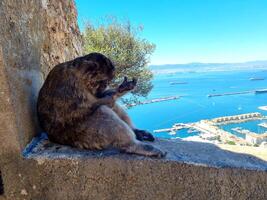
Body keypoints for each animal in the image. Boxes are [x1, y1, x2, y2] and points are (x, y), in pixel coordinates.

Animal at [37, 52, 168, 158]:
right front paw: (111, 97)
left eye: (107, 82)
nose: (105, 86)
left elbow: (102, 98)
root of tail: (53, 138)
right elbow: (86, 108)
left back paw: (137, 132)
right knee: (101, 110)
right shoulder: (70, 86)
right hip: (82, 137)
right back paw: (133, 145)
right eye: (103, 81)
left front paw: (121, 89)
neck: (80, 78)